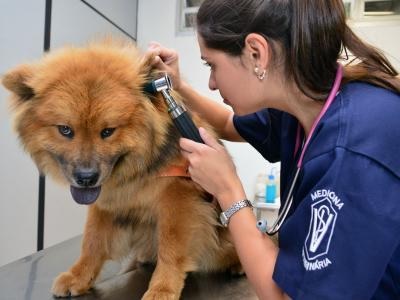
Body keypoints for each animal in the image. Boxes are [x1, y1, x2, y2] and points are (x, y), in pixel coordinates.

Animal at [1, 40, 239, 300]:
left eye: (108, 131)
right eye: (65, 130)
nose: (86, 178)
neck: (136, 173)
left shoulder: (179, 198)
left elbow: (171, 246)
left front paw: (163, 287)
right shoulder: (105, 203)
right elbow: (92, 241)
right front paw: (79, 276)